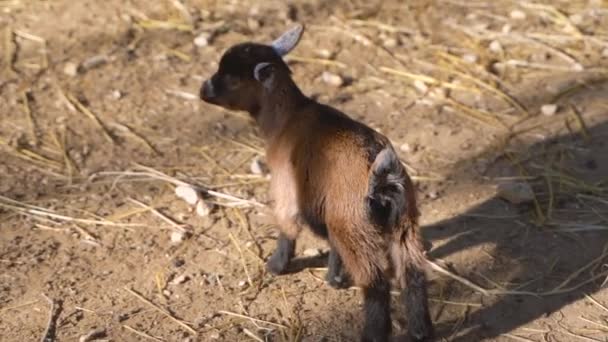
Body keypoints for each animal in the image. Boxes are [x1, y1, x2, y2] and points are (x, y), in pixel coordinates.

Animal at [200, 24, 432, 342]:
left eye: (233, 78)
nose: (203, 90)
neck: (287, 118)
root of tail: (382, 176)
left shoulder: (286, 186)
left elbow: (287, 225)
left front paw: (275, 267)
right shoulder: (329, 210)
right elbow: (332, 244)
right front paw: (334, 278)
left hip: (356, 226)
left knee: (377, 285)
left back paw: (373, 333)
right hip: (402, 224)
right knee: (414, 275)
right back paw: (422, 331)